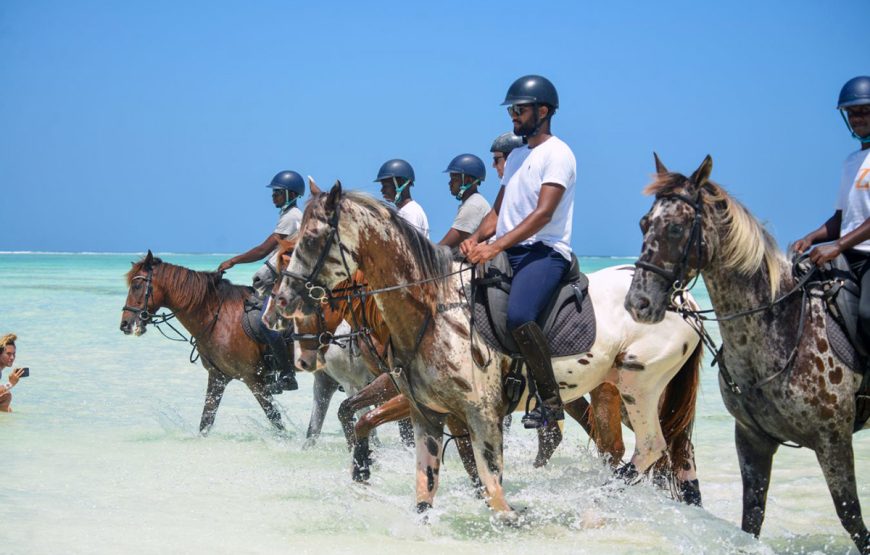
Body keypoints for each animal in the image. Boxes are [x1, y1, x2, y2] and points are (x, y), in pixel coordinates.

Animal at [120, 251, 286, 433]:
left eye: (136, 286)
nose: (125, 324)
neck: (219, 318)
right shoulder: (218, 377)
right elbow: (205, 422)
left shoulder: (254, 379)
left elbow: (277, 422)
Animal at [271, 183, 702, 518]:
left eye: (312, 238)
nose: (283, 302)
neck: (433, 309)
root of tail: (683, 298)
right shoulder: (433, 410)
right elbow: (433, 472)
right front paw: (364, 471)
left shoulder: (472, 411)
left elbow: (485, 480)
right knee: (670, 451)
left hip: (635, 386)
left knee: (646, 447)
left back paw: (598, 498)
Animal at [624, 154, 869, 553]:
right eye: (644, 223)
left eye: (675, 228)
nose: (637, 303)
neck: (783, 325)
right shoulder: (752, 440)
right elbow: (751, 518)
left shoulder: (833, 440)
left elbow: (853, 519)